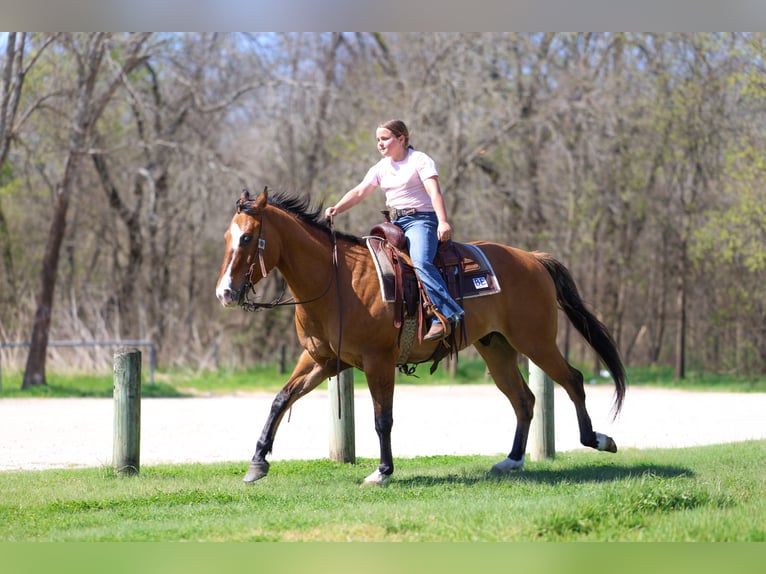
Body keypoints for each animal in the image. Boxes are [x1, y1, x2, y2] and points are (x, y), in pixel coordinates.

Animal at [215, 188, 626, 486]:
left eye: (248, 237)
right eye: (227, 237)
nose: (225, 293)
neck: (336, 280)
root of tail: (532, 258)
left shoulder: (378, 362)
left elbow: (383, 418)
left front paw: (382, 472)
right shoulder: (321, 361)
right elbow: (280, 400)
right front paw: (257, 463)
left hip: (536, 341)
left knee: (572, 380)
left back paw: (598, 439)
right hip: (497, 348)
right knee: (524, 399)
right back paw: (511, 461)